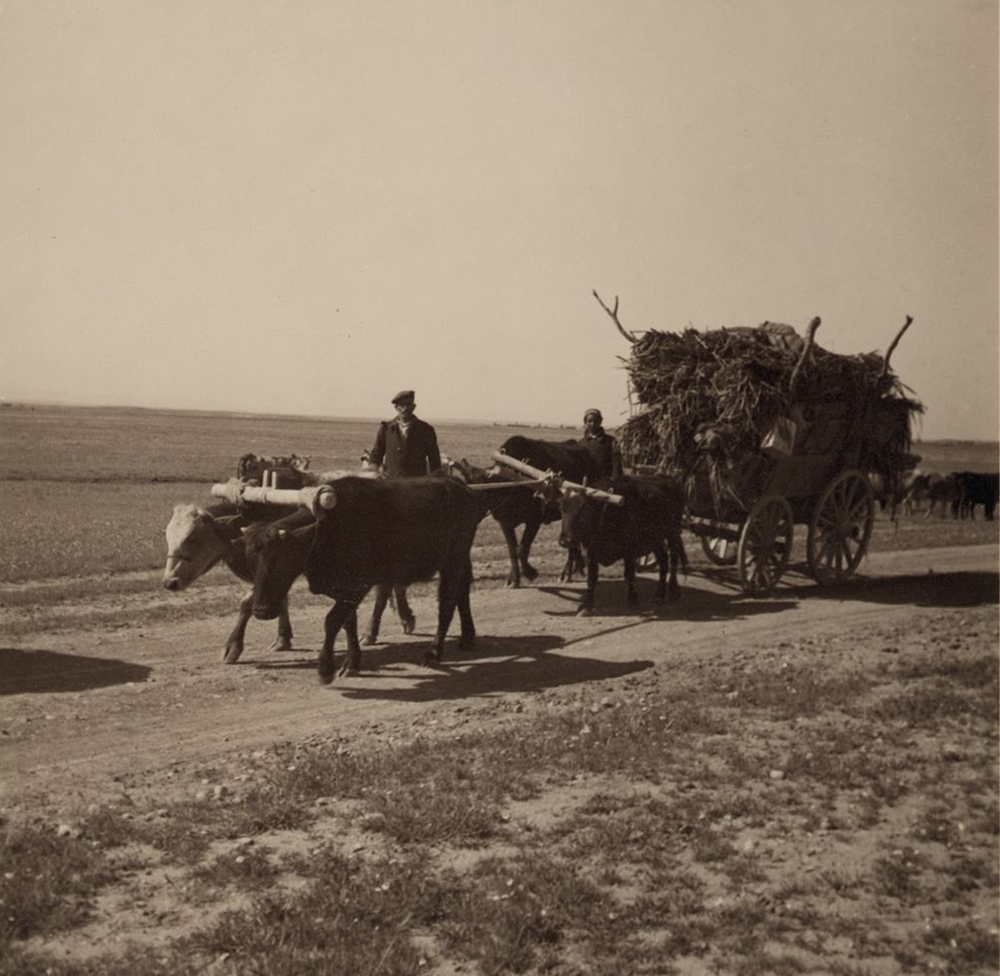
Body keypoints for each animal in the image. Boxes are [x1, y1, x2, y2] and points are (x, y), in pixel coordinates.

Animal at [556, 474, 688, 616]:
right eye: (561, 509)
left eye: (582, 511)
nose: (565, 540)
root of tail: (668, 478)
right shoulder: (591, 551)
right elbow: (591, 579)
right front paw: (587, 606)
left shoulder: (629, 551)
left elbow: (629, 576)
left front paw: (632, 601)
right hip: (656, 539)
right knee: (663, 560)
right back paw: (659, 595)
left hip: (673, 533)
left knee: (674, 559)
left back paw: (674, 590)